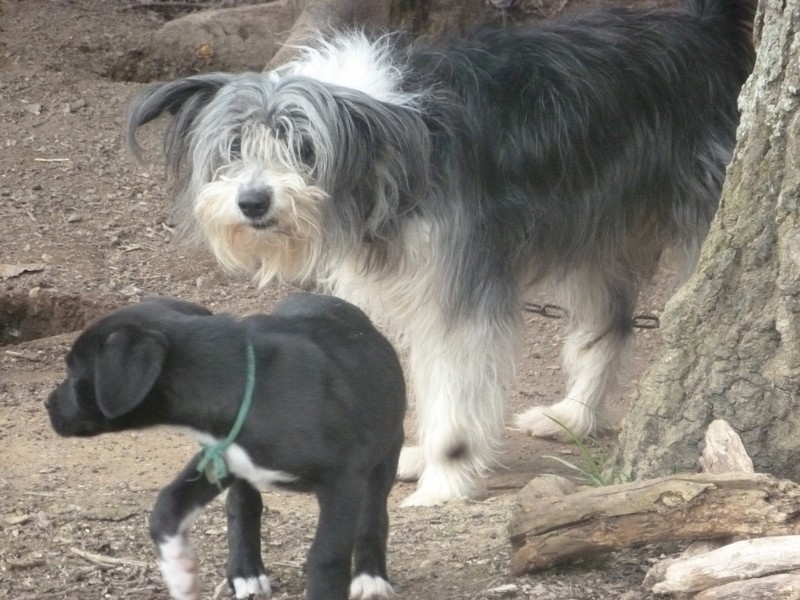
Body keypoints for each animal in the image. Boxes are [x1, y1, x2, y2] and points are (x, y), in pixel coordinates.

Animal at [44, 296, 406, 600]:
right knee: (243, 505)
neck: (245, 382)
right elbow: (167, 504)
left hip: (386, 454)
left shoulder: (343, 481)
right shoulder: (220, 454)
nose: (47, 404)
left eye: (73, 371)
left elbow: (326, 556)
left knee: (374, 513)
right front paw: (180, 572)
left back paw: (370, 576)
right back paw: (246, 573)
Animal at [128, 0, 752, 506]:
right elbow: (431, 385)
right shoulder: (424, 291)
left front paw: (445, 482)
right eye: (233, 146)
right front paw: (424, 455)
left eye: (303, 148)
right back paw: (573, 414)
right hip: (594, 236)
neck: (385, 147)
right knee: (608, 325)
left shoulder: (460, 295)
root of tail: (710, 28)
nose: (253, 202)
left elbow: (455, 390)